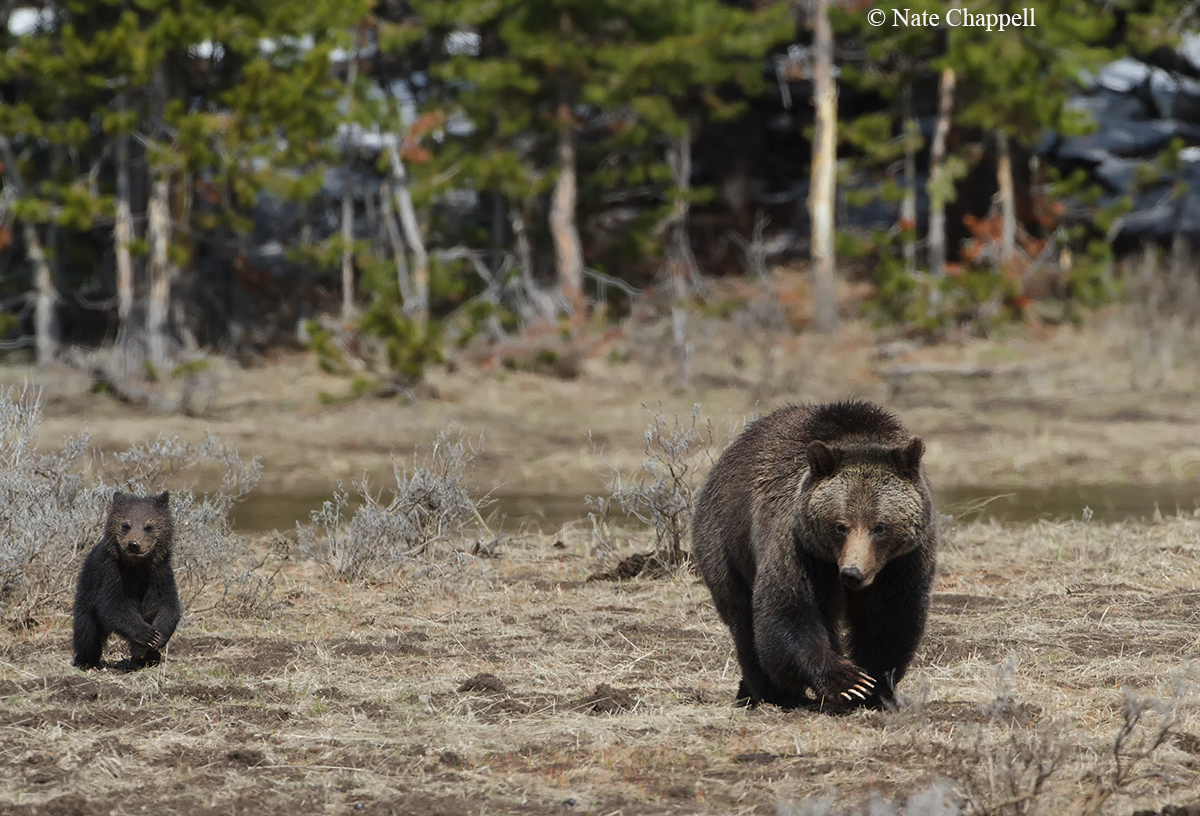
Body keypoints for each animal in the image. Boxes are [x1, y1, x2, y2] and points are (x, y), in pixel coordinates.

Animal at [72, 491, 182, 670]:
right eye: (126, 525)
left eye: (148, 526)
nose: (134, 544)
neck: (137, 566)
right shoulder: (113, 573)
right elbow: (114, 605)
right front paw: (148, 635)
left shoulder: (159, 573)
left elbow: (166, 604)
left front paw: (158, 637)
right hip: (87, 589)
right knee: (87, 630)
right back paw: (86, 660)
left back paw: (146, 657)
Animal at [691, 400, 937, 711]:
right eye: (841, 525)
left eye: (879, 527)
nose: (852, 573)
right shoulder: (800, 547)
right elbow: (790, 609)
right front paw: (848, 681)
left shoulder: (902, 562)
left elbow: (890, 618)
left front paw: (875, 688)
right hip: (726, 543)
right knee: (743, 618)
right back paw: (769, 692)